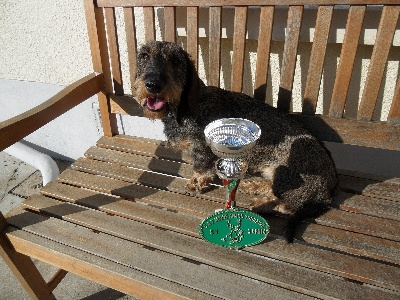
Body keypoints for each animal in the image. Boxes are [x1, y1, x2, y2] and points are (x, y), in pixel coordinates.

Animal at [134, 40, 338, 241]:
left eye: (176, 60)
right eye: (144, 56)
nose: (153, 84)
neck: (184, 108)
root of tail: (328, 191)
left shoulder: (203, 149)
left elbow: (201, 169)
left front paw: (197, 182)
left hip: (288, 173)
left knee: (290, 203)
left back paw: (264, 204)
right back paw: (254, 187)